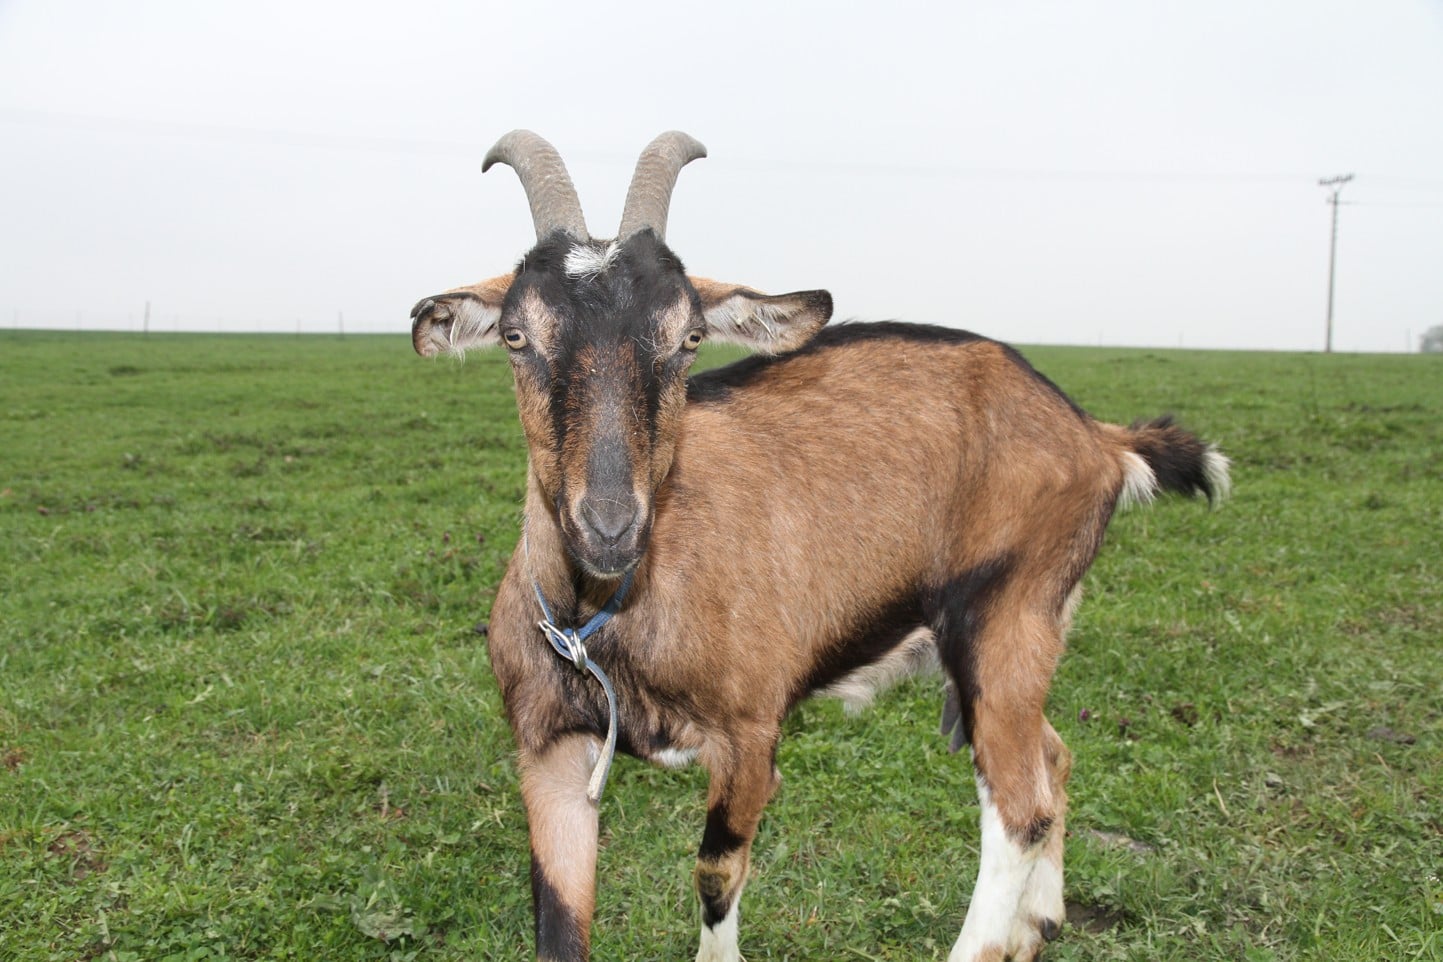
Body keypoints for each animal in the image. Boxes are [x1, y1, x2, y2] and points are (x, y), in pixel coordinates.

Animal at [409, 129, 1229, 962]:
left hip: (1002, 619)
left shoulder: (748, 737)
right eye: (516, 336)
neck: (599, 619)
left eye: (690, 336)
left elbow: (716, 874)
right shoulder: (547, 756)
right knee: (1051, 757)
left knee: (1018, 809)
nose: (609, 523)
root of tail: (1095, 436)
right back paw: (1038, 928)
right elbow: (558, 924)